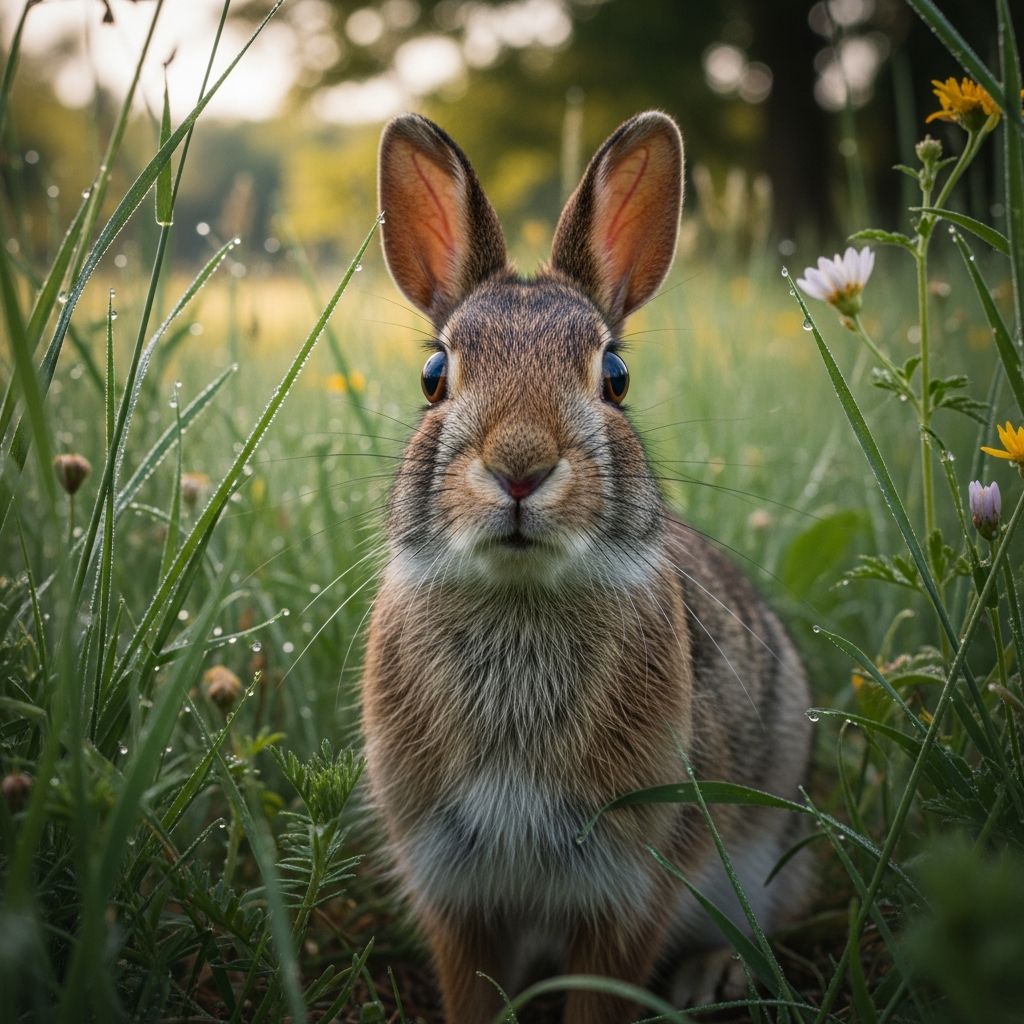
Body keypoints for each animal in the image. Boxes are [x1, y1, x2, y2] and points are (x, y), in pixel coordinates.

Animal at [361, 110, 813, 1024]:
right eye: (434, 375)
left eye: (616, 377)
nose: (520, 467)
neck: (519, 599)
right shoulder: (452, 884)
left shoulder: (629, 883)